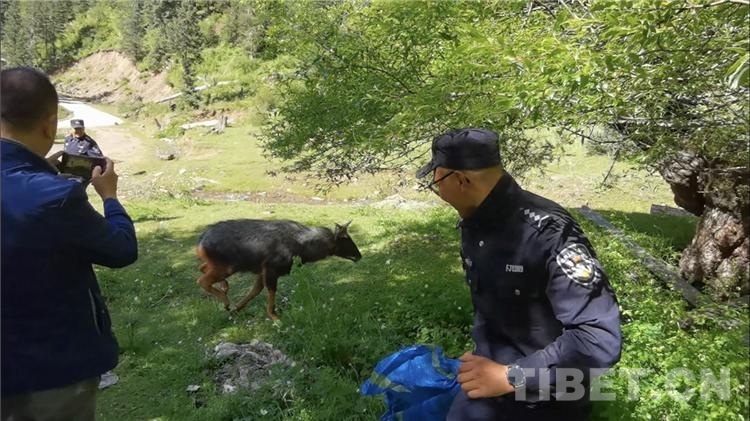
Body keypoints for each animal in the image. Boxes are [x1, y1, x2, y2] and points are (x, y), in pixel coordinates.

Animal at [196, 219, 362, 320]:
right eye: (346, 240)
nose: (359, 255)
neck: (303, 251)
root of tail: (200, 243)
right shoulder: (271, 269)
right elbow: (270, 293)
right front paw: (275, 318)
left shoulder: (262, 270)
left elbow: (255, 291)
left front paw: (236, 309)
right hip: (228, 266)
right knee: (201, 280)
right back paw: (225, 300)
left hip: (220, 265)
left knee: (202, 267)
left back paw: (224, 288)